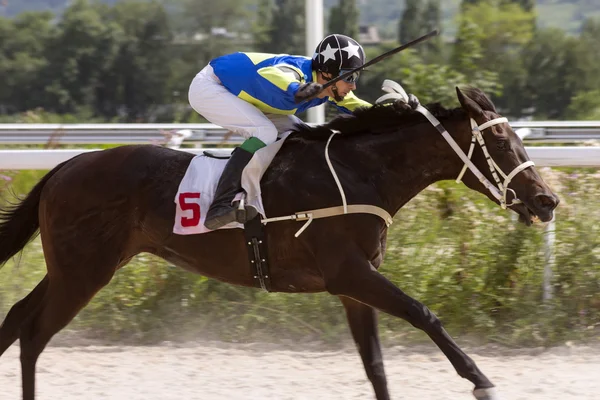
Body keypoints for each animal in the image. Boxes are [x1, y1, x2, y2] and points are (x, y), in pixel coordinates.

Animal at [2, 86, 560, 398]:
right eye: (501, 142)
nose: (548, 200)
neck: (360, 173)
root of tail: (64, 167)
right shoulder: (349, 272)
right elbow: (424, 314)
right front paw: (481, 380)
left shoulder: (353, 286)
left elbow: (376, 366)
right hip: (83, 272)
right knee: (33, 334)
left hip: (76, 268)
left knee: (15, 320)